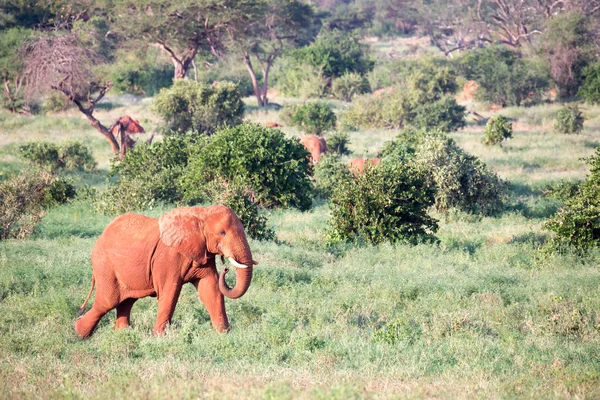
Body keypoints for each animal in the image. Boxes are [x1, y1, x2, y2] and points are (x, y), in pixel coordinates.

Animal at [74, 206, 256, 338]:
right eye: (222, 232)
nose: (226, 268)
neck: (201, 213)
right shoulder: (168, 257)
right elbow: (170, 292)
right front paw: (160, 338)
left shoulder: (202, 252)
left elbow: (210, 289)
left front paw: (224, 334)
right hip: (104, 265)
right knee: (107, 302)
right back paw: (79, 333)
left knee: (126, 301)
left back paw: (123, 333)